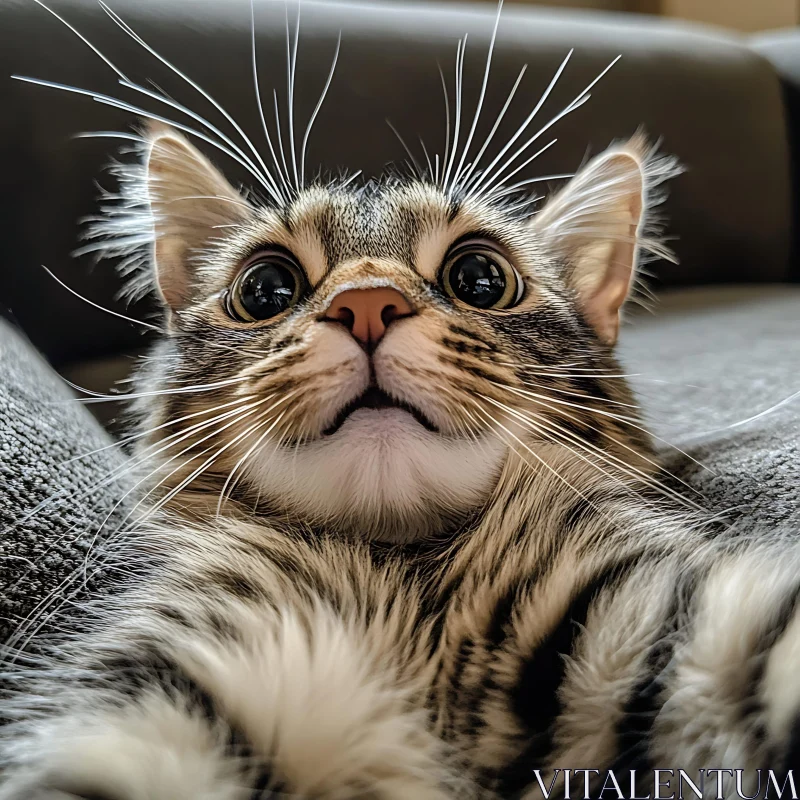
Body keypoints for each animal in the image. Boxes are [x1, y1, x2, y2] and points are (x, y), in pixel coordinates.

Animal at [1, 37, 800, 800]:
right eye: (265, 288)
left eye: (480, 277)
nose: (366, 304)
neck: (412, 585)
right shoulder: (176, 685)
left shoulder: (670, 618)